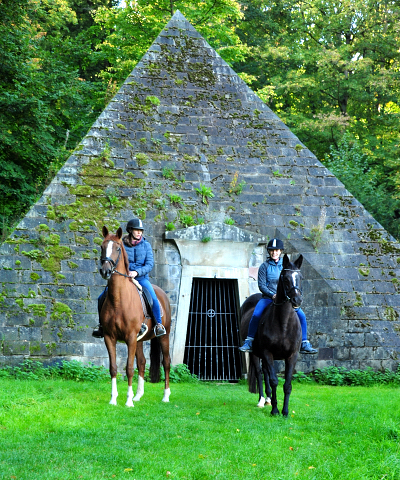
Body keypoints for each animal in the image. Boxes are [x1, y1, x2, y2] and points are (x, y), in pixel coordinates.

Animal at [99, 227, 171, 406]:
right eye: (102, 247)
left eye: (118, 248)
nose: (105, 271)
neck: (118, 300)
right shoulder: (109, 337)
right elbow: (114, 368)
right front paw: (114, 399)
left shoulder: (130, 337)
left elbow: (129, 368)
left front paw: (128, 402)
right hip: (139, 340)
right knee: (143, 362)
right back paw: (138, 396)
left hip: (164, 336)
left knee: (166, 362)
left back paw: (165, 396)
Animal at [241, 255, 304, 416]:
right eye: (285, 278)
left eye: (300, 277)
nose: (297, 300)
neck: (284, 323)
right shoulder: (267, 353)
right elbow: (274, 380)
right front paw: (275, 410)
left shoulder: (292, 355)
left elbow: (287, 385)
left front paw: (285, 411)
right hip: (255, 353)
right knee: (259, 373)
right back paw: (262, 400)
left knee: (265, 373)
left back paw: (268, 399)